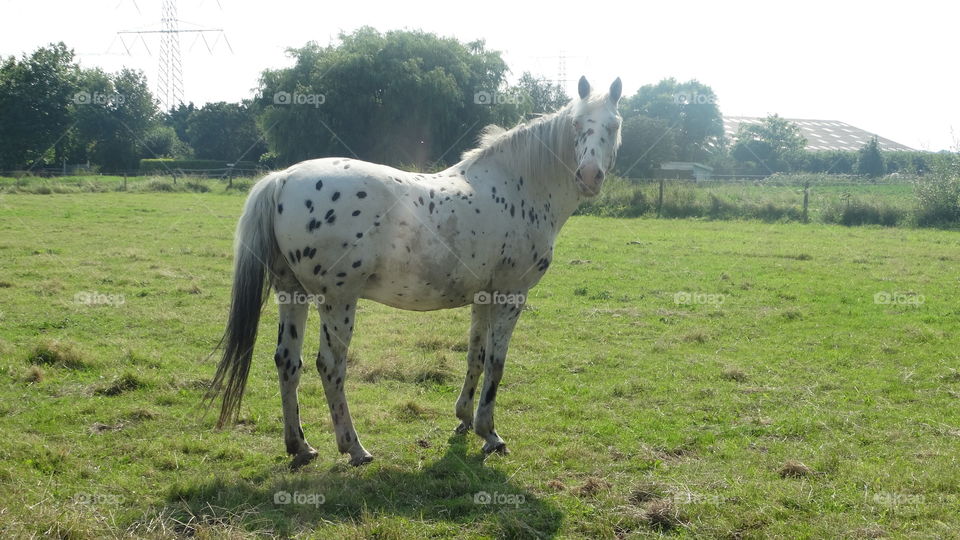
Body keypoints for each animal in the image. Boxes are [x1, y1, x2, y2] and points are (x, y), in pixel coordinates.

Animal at [208, 76, 623, 468]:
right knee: (330, 366)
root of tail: (282, 179)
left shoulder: (484, 297)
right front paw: (490, 434)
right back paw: (354, 448)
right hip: (337, 301)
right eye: (577, 124)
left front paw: (464, 419)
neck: (518, 185)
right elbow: (496, 363)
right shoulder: (510, 295)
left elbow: (475, 355)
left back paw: (301, 446)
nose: (589, 176)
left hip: (292, 294)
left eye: (613, 124)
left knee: (287, 362)